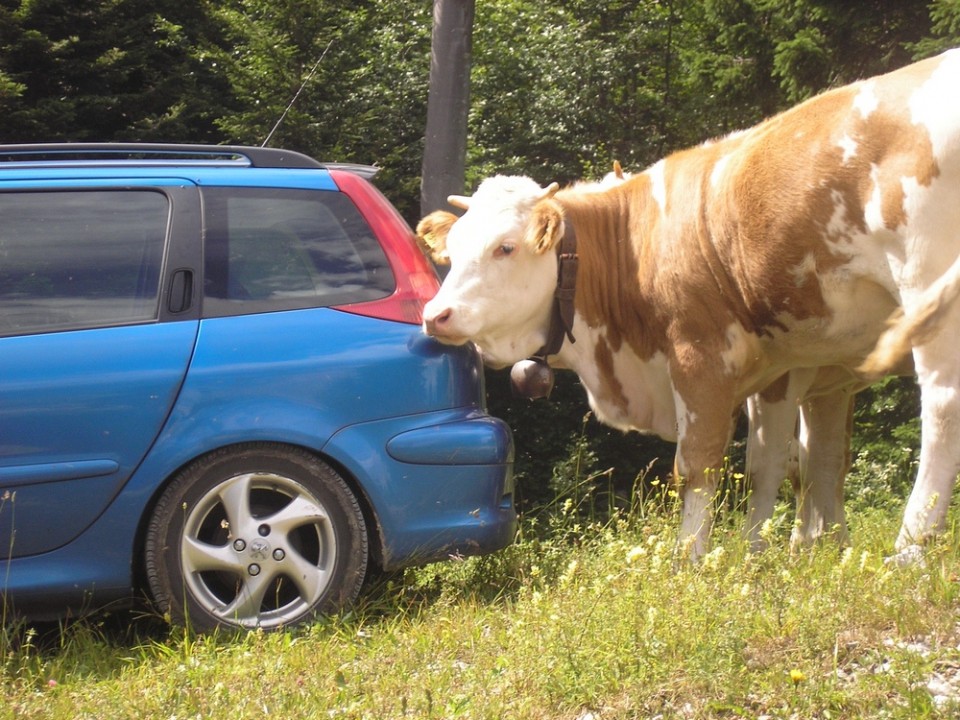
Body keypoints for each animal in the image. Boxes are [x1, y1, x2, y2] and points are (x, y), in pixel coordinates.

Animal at [418, 50, 960, 560]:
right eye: (455, 247)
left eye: (505, 247)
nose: (434, 315)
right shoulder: (795, 367)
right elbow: (793, 461)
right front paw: (781, 554)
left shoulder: (701, 353)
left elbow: (700, 465)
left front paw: (694, 559)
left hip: (928, 288)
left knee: (942, 405)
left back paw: (911, 546)